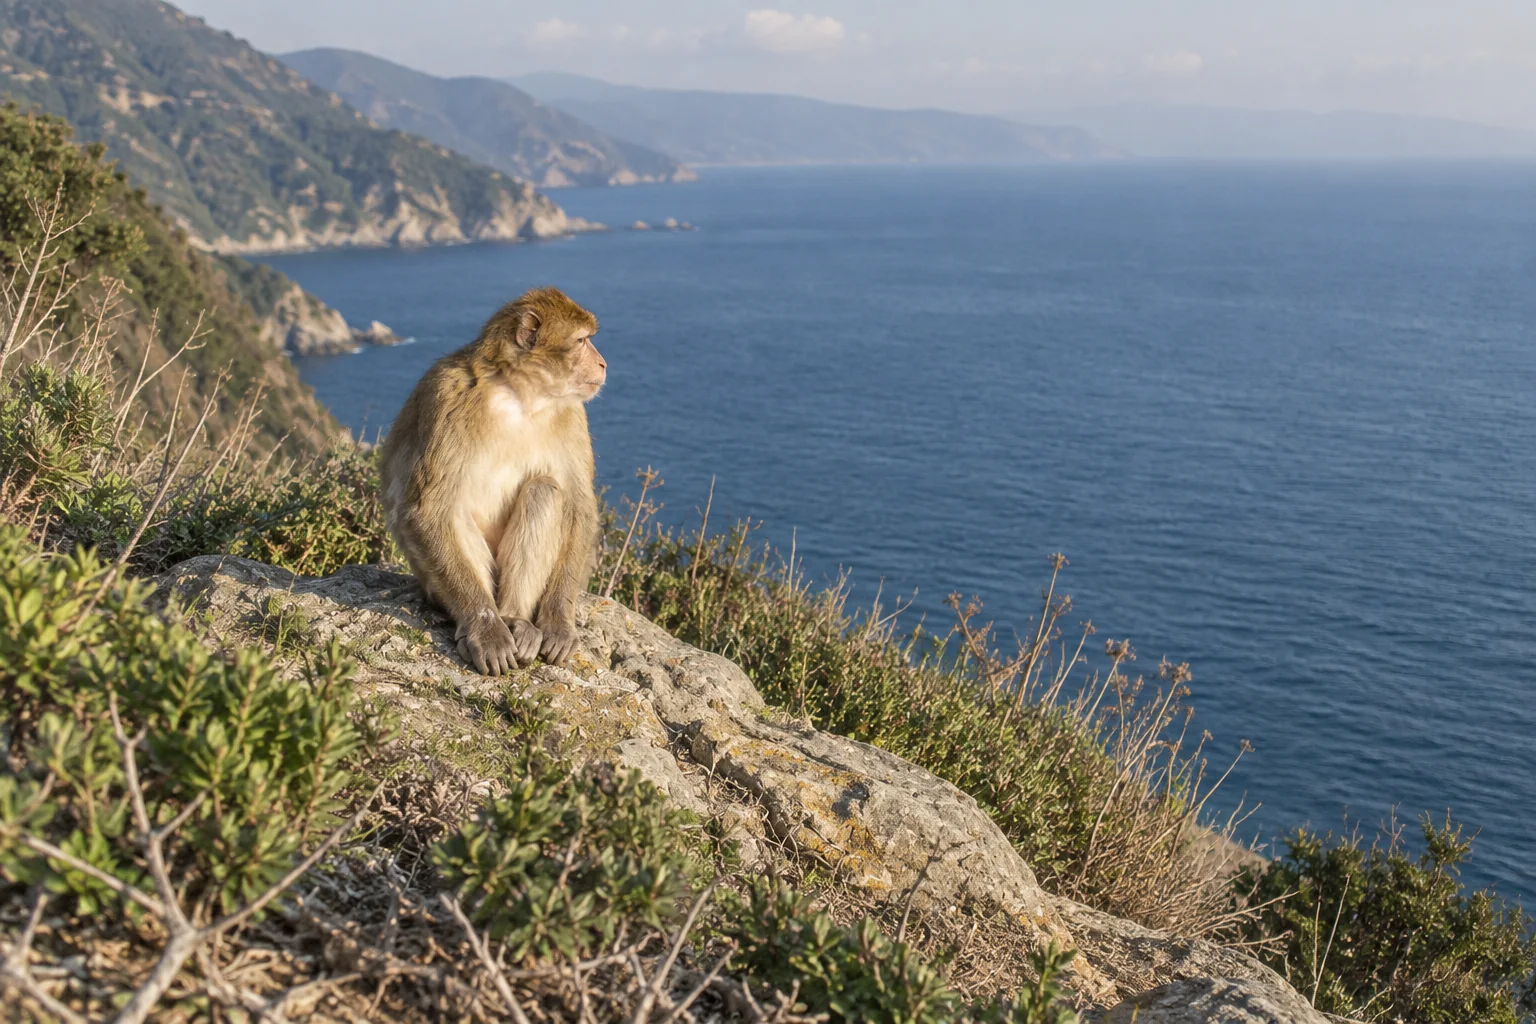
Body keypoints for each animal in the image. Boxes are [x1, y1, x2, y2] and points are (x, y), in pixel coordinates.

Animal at [379, 287, 605, 675]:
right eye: (581, 341)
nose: (603, 363)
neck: (520, 394)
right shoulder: (447, 396)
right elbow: (427, 510)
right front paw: (485, 631)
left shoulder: (573, 413)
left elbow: (579, 505)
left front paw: (558, 622)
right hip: (433, 585)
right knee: (450, 511)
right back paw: (487, 622)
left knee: (544, 490)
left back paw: (516, 619)